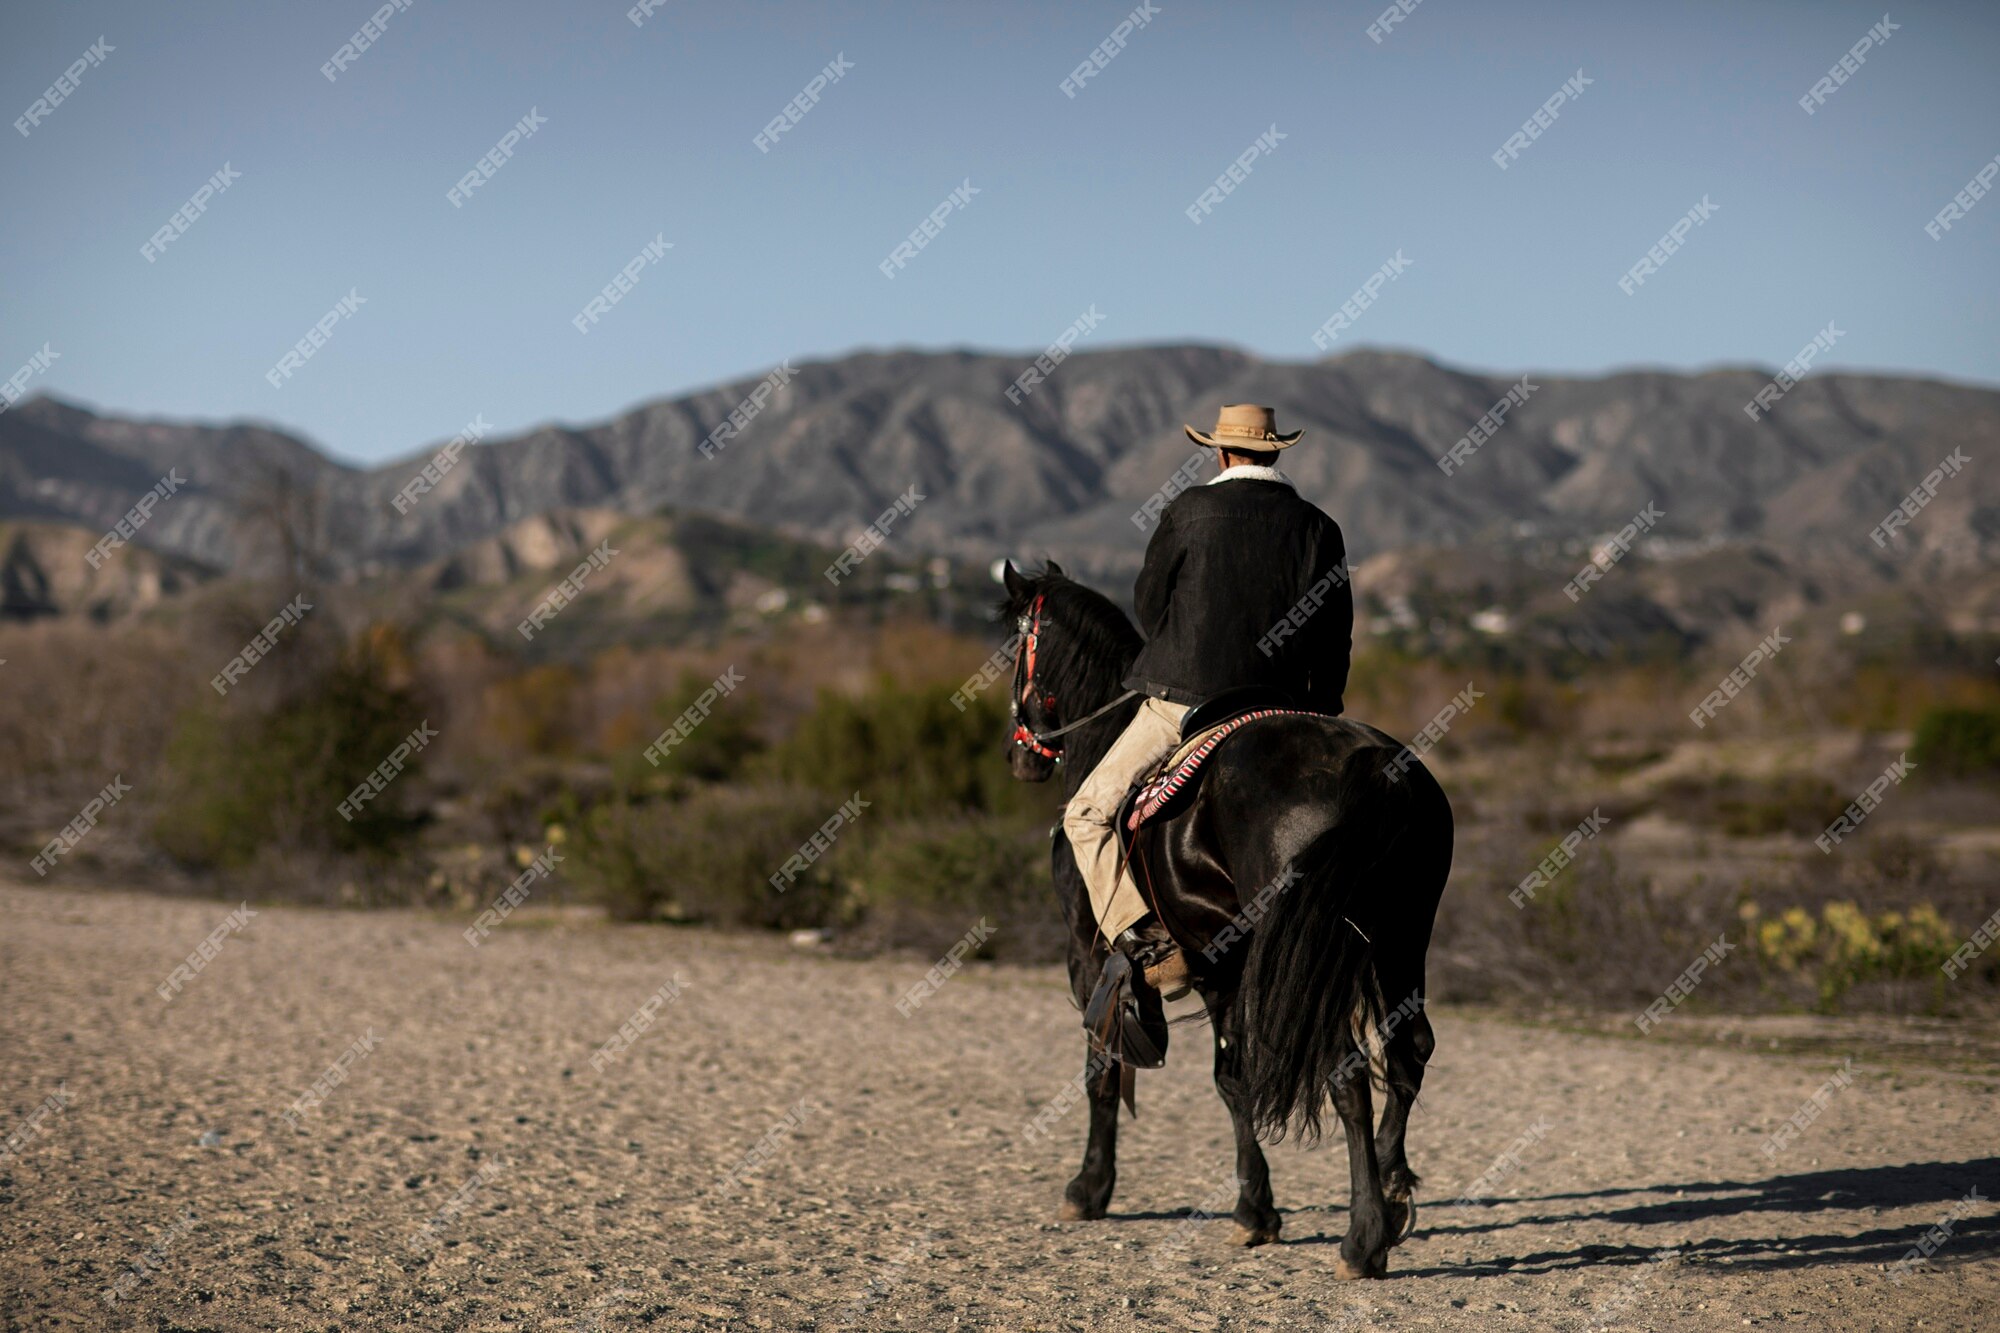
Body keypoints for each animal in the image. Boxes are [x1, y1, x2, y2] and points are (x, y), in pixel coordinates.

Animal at [1000, 556, 1456, 1272]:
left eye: (1017, 649)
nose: (1019, 755)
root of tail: (1376, 767)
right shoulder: (1222, 965)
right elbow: (1231, 1077)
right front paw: (1255, 1209)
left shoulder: (1089, 954)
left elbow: (1104, 1068)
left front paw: (1089, 1188)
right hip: (1399, 941)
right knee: (1408, 1053)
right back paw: (1391, 1191)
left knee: (1349, 1073)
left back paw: (1363, 1240)